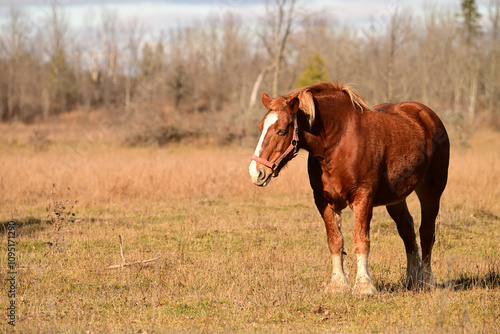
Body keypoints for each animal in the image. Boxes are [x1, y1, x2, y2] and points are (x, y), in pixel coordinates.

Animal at [249, 81, 450, 294]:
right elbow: (335, 241)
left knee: (426, 232)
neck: (339, 142)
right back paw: (412, 280)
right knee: (407, 231)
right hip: (396, 199)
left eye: (281, 130)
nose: (256, 172)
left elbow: (361, 241)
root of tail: (427, 117)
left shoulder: (362, 198)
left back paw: (426, 281)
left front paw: (363, 286)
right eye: (261, 127)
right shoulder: (324, 201)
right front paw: (338, 285)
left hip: (431, 191)